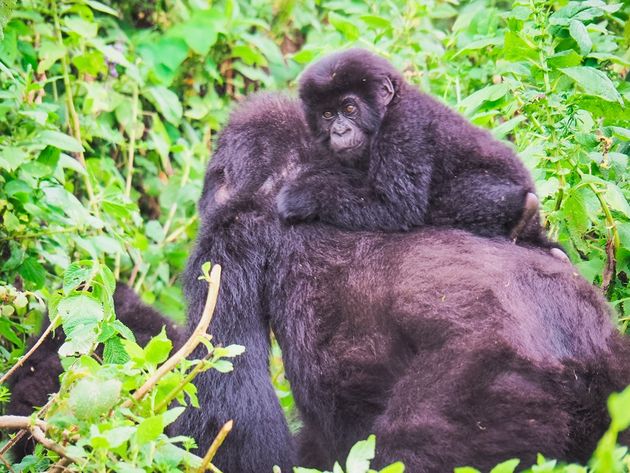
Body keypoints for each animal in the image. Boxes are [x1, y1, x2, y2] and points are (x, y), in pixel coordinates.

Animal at [280, 48, 564, 251]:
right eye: (327, 115)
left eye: (349, 108)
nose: (339, 131)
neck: (390, 105)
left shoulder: (404, 128)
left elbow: (396, 207)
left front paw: (304, 196)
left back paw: (523, 213)